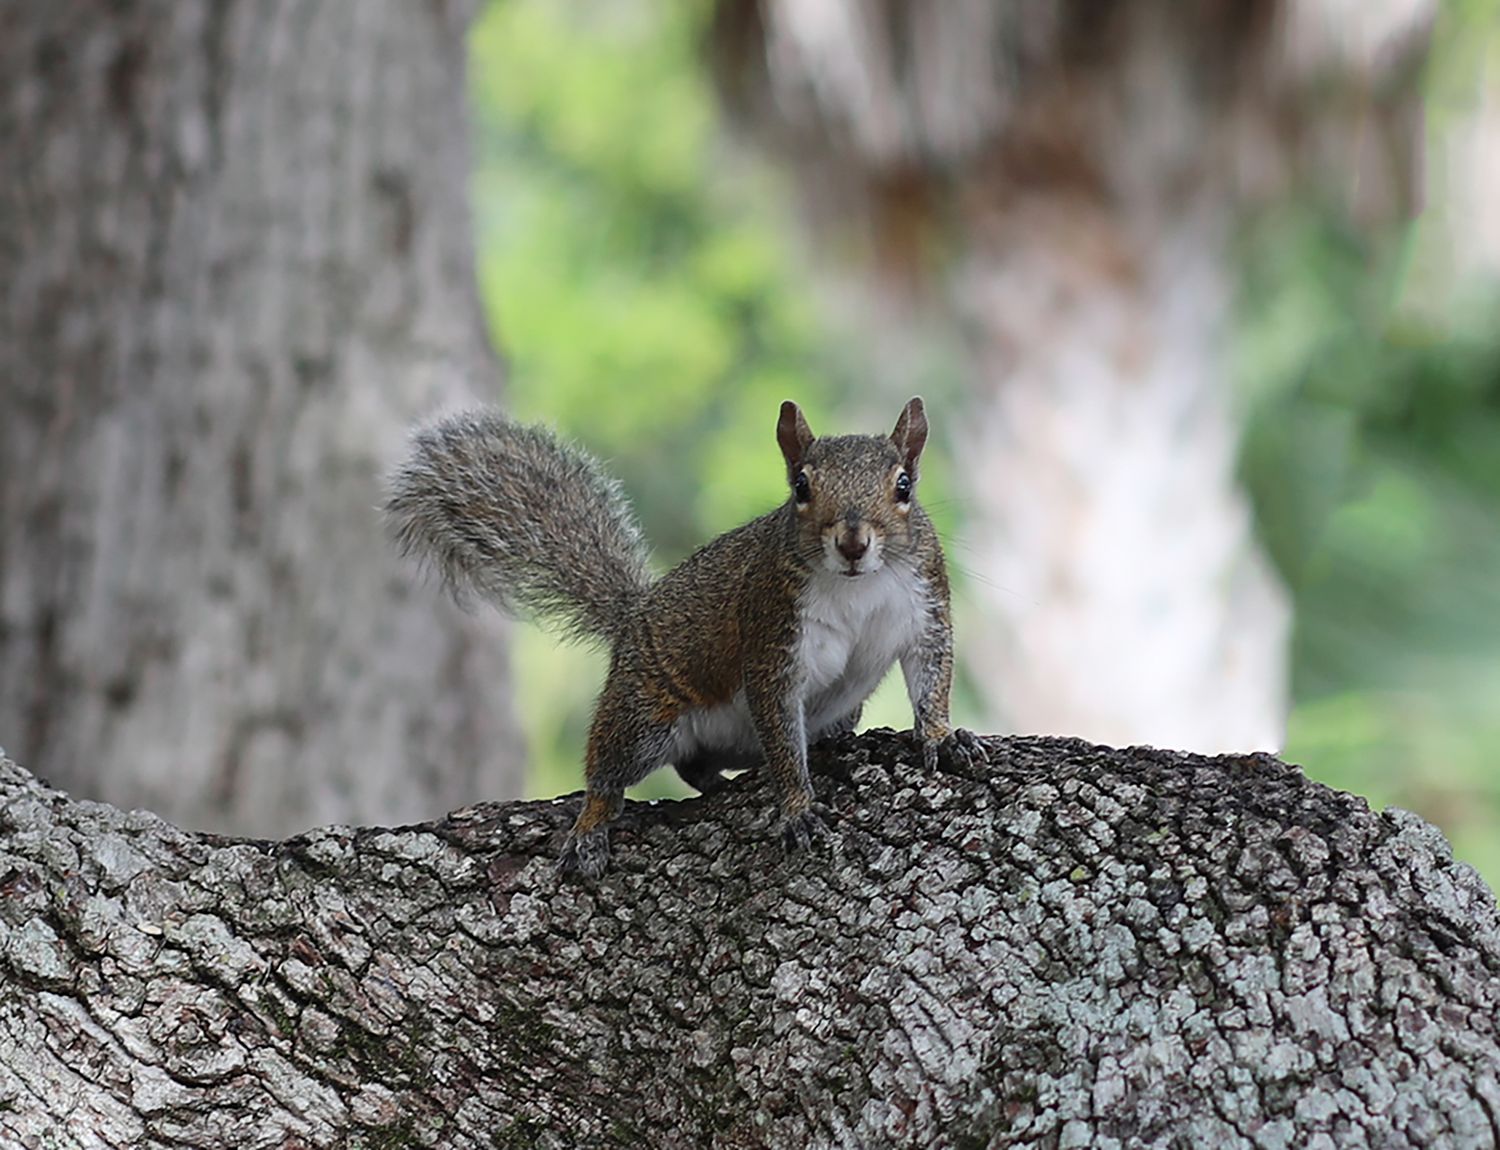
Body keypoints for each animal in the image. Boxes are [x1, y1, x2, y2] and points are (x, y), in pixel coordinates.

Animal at [385, 397, 983, 877]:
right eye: (801, 486)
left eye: (904, 485)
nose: (854, 542)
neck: (857, 585)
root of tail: (634, 616)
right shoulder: (772, 631)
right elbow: (780, 729)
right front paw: (797, 806)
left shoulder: (926, 604)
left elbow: (932, 676)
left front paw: (941, 737)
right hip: (644, 714)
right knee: (611, 767)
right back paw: (592, 825)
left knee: (697, 764)